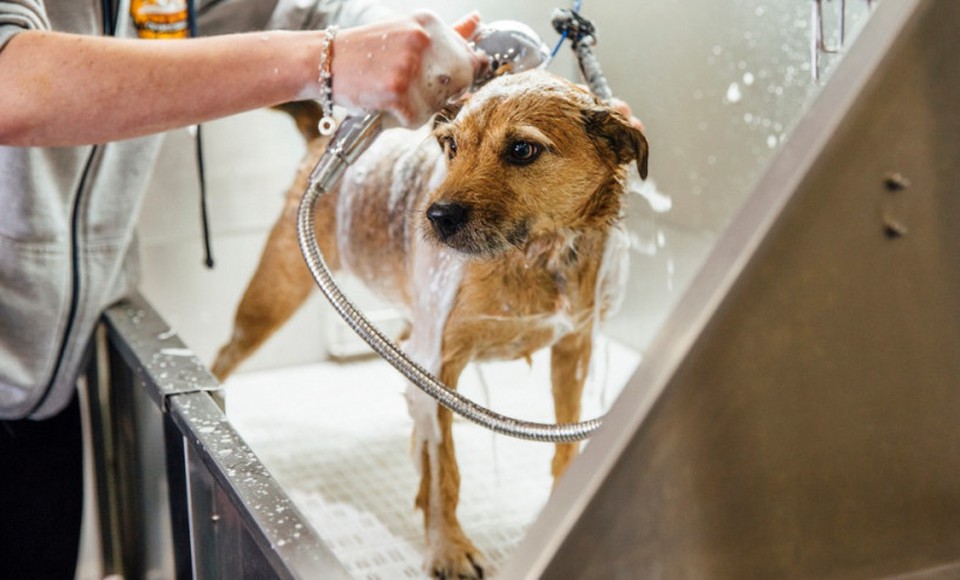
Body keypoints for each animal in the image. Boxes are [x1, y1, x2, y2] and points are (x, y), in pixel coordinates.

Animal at [209, 70, 644, 576]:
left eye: (522, 149)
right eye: (451, 145)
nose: (437, 216)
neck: (534, 257)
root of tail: (326, 138)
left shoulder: (572, 351)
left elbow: (566, 444)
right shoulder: (440, 367)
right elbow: (444, 474)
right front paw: (448, 547)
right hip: (271, 300)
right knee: (224, 354)